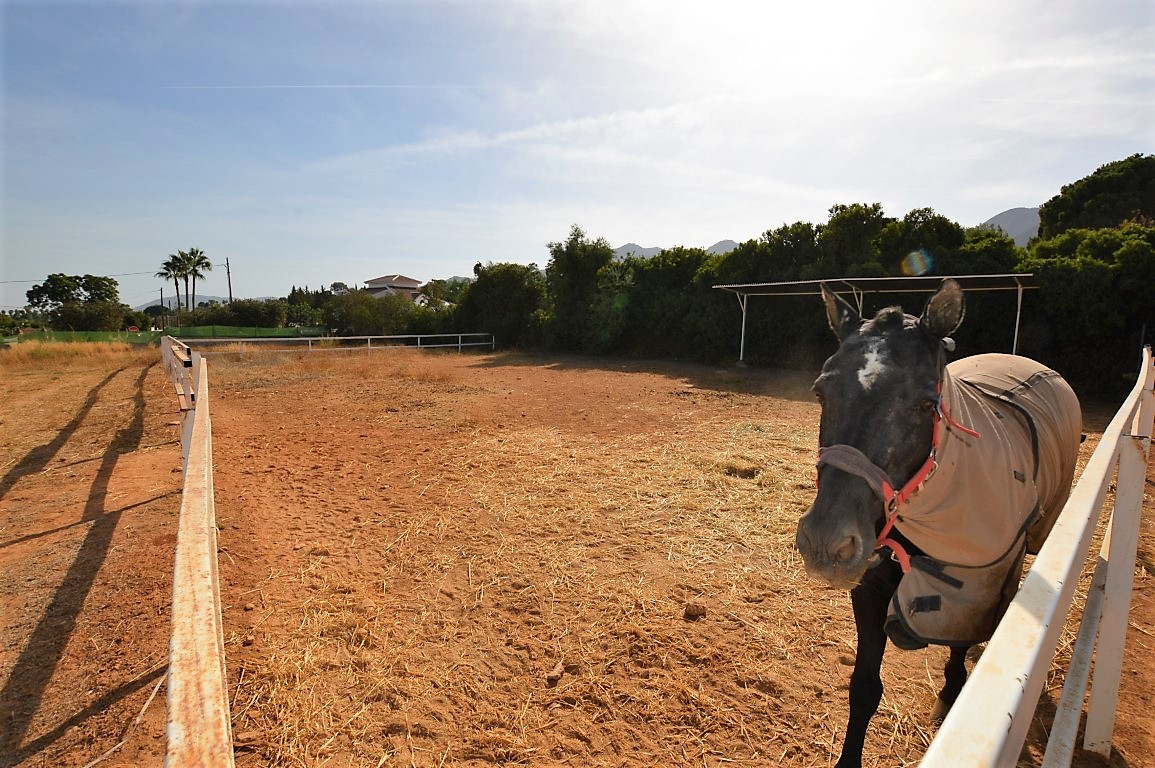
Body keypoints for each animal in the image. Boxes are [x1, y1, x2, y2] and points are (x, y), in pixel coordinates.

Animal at [794, 278, 1081, 766]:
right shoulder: (870, 586)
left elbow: (961, 640)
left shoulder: (977, 585)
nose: (826, 542)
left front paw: (950, 694)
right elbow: (864, 688)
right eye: (821, 391)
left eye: (928, 403)